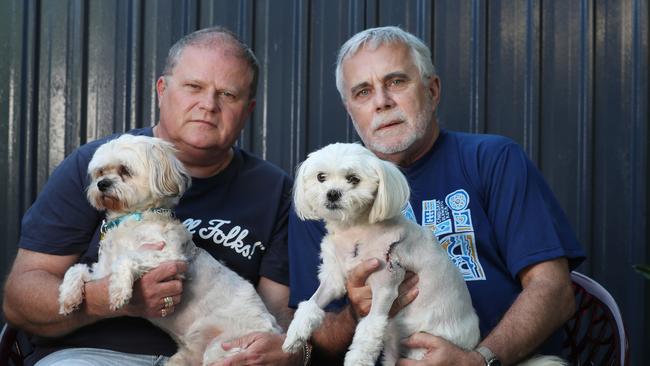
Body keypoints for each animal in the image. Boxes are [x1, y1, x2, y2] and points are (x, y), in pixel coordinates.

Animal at [60, 134, 280, 366]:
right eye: (100, 172)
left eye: (124, 170)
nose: (101, 184)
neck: (132, 218)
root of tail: (274, 328)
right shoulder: (102, 271)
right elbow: (76, 269)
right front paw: (69, 297)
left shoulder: (169, 256)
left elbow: (127, 258)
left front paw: (119, 290)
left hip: (225, 349)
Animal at [280, 142, 564, 366]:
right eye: (321, 177)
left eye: (353, 179)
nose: (332, 194)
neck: (356, 230)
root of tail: (473, 344)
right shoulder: (336, 278)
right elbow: (311, 304)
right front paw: (295, 335)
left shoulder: (385, 286)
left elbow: (369, 329)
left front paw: (357, 360)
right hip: (394, 346)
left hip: (423, 349)